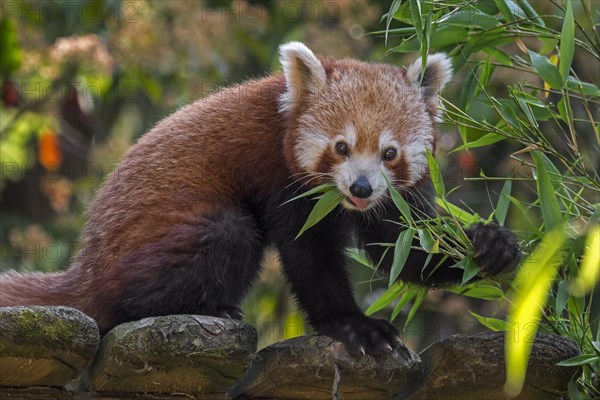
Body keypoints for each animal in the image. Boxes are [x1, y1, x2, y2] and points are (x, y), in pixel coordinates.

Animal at [0, 43, 516, 354]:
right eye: (341, 147)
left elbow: (403, 252)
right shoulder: (282, 182)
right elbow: (310, 256)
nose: (361, 188)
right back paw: (201, 308)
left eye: (389, 153)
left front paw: (490, 246)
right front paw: (353, 324)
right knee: (226, 235)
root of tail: (88, 266)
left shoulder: (395, 201)